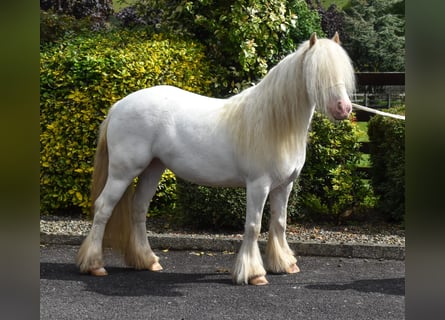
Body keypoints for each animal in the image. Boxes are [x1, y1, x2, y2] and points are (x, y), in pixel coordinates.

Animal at [76, 33, 354, 284]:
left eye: (342, 72)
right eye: (316, 73)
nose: (343, 108)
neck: (273, 123)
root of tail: (118, 106)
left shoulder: (284, 185)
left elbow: (279, 223)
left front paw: (284, 264)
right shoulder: (258, 185)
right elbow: (253, 226)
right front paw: (254, 274)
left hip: (153, 169)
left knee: (138, 209)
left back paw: (149, 261)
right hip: (123, 172)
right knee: (103, 208)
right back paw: (95, 265)